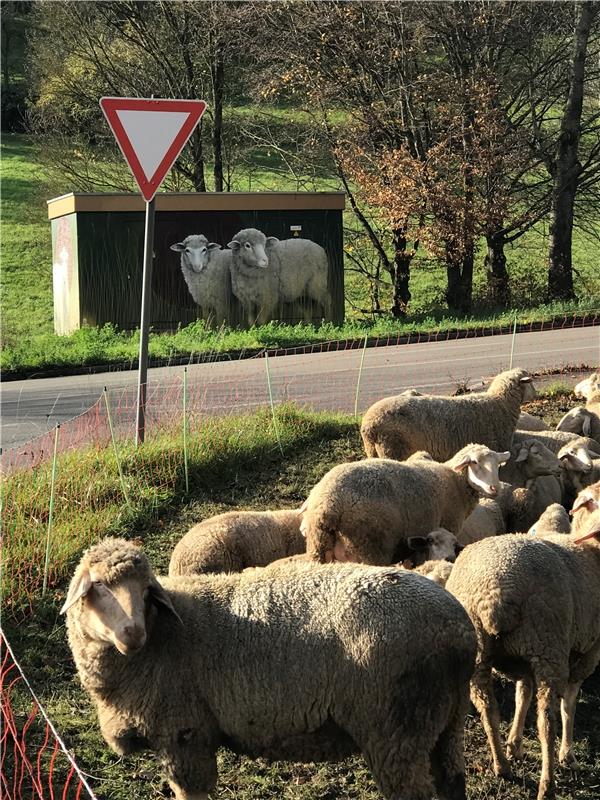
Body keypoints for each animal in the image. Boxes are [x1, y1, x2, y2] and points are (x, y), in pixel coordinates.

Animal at [62, 536, 478, 800]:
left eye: (147, 592)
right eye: (98, 587)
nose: (132, 633)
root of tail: (459, 627)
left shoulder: (184, 735)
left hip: (397, 728)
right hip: (445, 720)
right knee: (452, 782)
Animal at [300, 440, 506, 564]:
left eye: (498, 465)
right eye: (474, 463)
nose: (495, 488)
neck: (455, 480)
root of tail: (327, 505)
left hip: (318, 550)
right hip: (369, 548)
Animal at [360, 368, 536, 462]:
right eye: (530, 383)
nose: (536, 394)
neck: (501, 403)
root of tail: (368, 426)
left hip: (373, 450)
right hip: (392, 449)